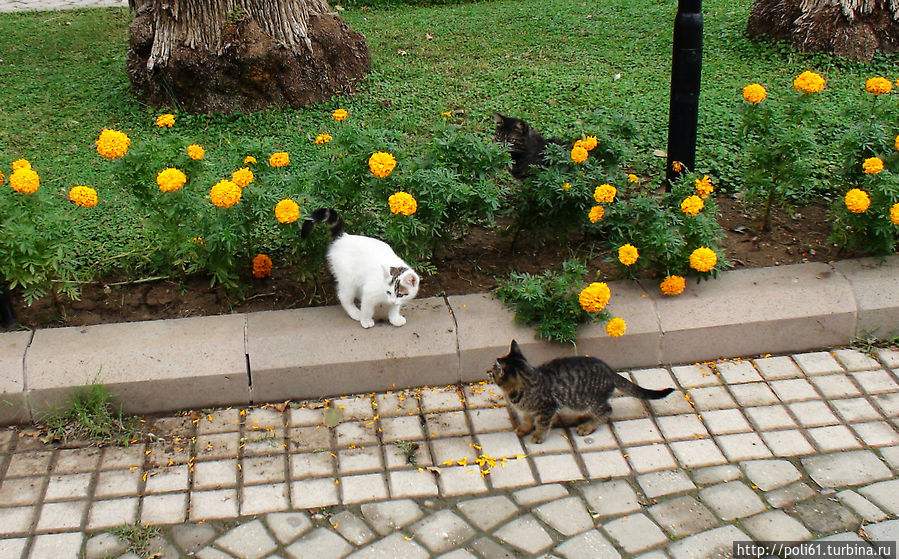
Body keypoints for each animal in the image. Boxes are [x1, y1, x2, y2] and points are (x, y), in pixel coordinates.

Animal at [492, 340, 676, 444]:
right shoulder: (525, 410)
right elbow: (526, 420)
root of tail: (610, 371)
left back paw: (587, 427)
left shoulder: (547, 408)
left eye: (494, 370)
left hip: (591, 400)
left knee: (606, 410)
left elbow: (543, 424)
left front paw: (538, 435)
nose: (488, 371)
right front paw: (524, 429)